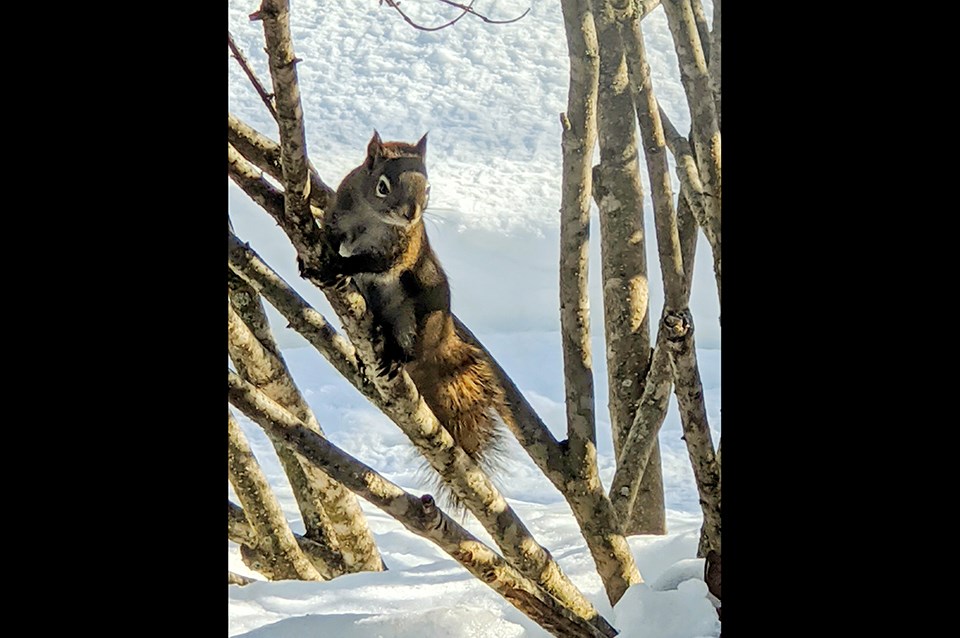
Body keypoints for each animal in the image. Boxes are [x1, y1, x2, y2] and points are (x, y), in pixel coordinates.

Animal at [316, 131, 510, 496]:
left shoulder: (404, 248)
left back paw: (397, 357)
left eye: (428, 186)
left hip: (413, 319)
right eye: (382, 186)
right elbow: (331, 237)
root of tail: (441, 340)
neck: (373, 218)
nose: (411, 213)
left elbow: (378, 263)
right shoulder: (337, 213)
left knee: (409, 349)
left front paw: (344, 266)